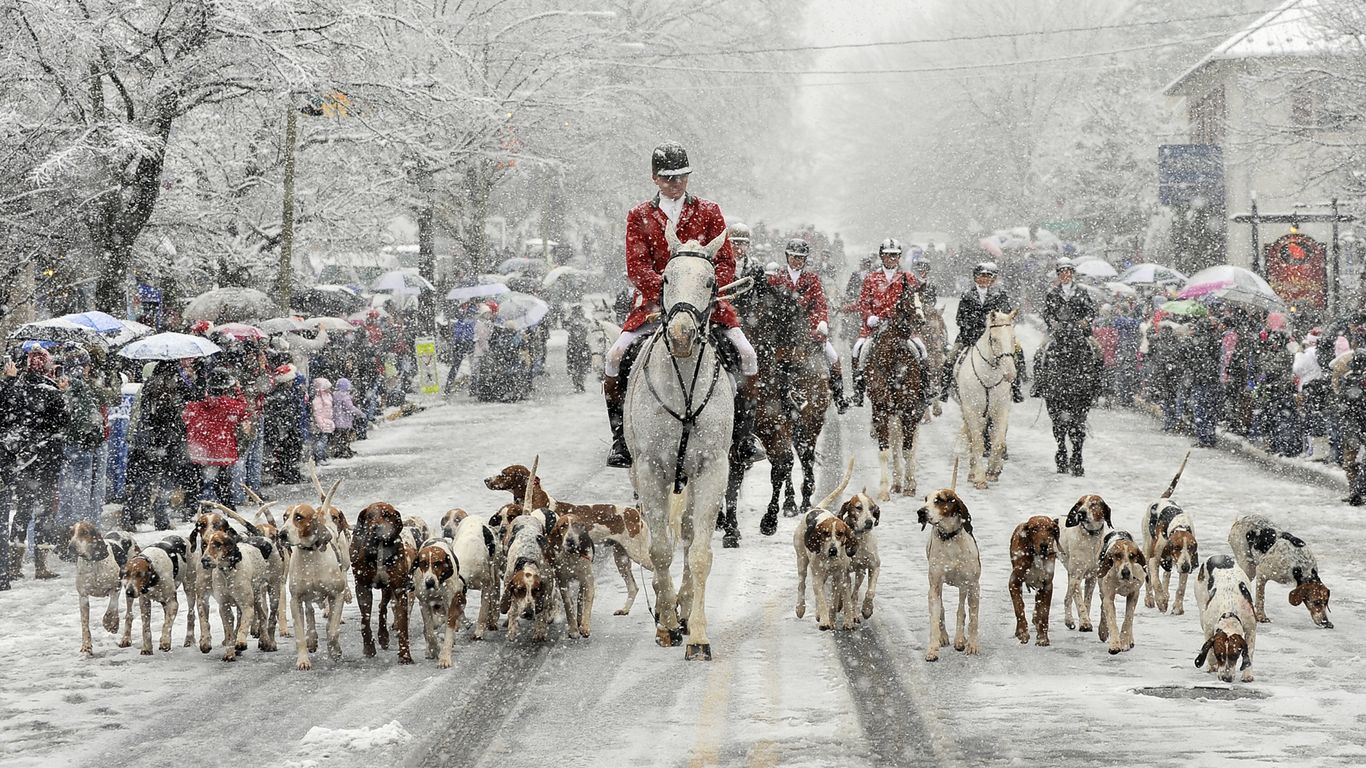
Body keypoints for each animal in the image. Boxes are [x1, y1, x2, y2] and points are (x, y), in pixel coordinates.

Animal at [721, 271, 825, 541]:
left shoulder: (775, 425)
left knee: (803, 457)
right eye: (787, 318)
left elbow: (782, 464)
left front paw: (769, 519)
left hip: (809, 424)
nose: (800, 365)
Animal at [863, 273, 928, 497]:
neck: (894, 358)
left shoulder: (909, 410)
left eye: (923, 298)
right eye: (907, 298)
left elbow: (908, 450)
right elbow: (885, 451)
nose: (921, 320)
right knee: (895, 443)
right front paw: (884, 490)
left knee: (911, 445)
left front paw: (910, 485)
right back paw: (896, 482)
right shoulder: (881, 409)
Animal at [956, 307, 1021, 486]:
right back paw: (972, 472)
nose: (1010, 374)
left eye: (1013, 338)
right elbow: (977, 443)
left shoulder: (1001, 409)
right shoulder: (971, 410)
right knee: (973, 438)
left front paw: (992, 471)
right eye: (994, 339)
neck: (988, 376)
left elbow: (997, 442)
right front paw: (979, 477)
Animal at [1038, 323, 1103, 472]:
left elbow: (1077, 430)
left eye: (1078, 344)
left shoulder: (1083, 403)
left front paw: (1077, 464)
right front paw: (1062, 461)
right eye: (1058, 341)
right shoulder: (1053, 403)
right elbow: (1060, 429)